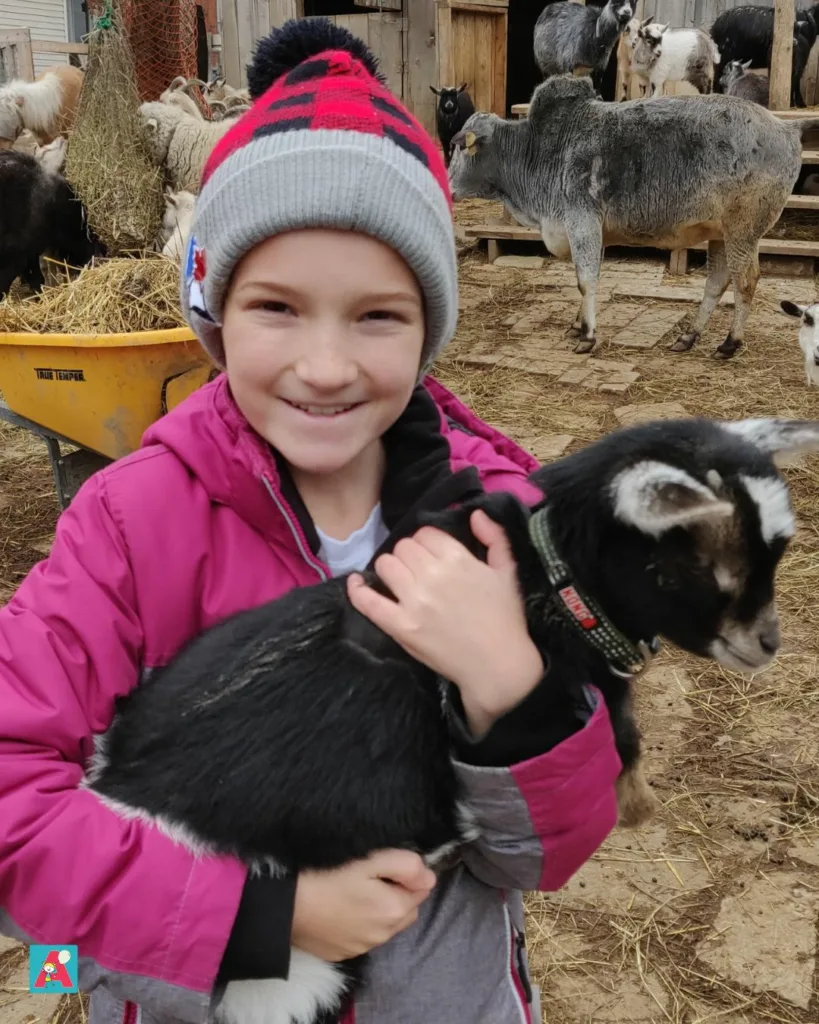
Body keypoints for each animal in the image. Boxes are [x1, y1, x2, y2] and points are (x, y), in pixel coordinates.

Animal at [81, 409, 818, 1024]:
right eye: (697, 567)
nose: (766, 643)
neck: (549, 577)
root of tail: (130, 791)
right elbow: (618, 729)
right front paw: (634, 800)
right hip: (291, 975)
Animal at [450, 75, 814, 358]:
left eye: (459, 149)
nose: (447, 186)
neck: (540, 149)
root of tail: (786, 126)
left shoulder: (582, 222)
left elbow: (586, 281)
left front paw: (588, 336)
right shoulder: (591, 230)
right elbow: (585, 278)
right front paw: (578, 324)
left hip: (743, 231)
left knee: (745, 281)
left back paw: (730, 342)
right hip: (721, 234)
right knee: (716, 283)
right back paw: (689, 336)